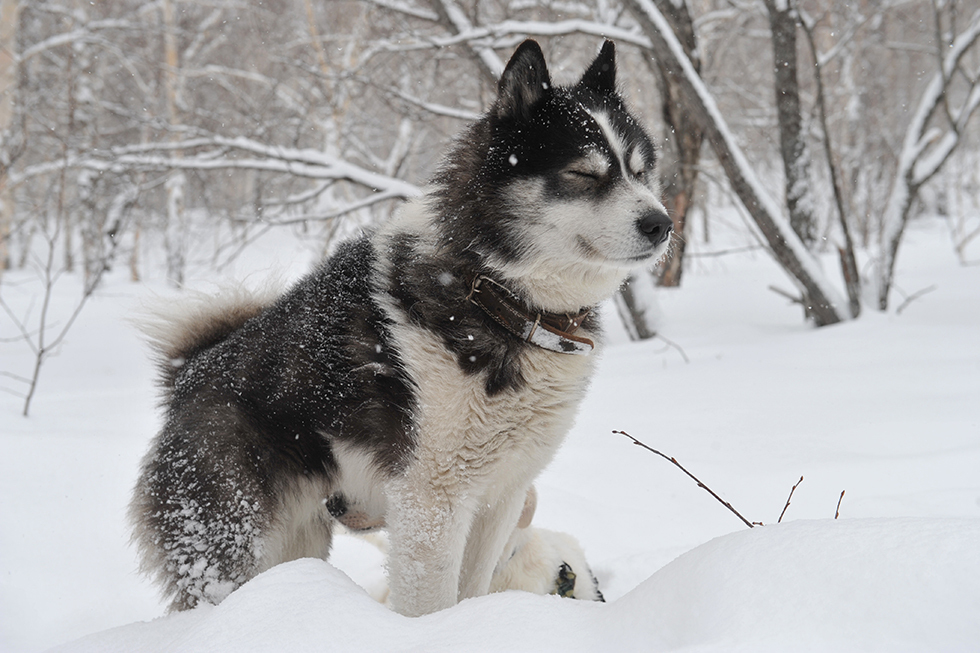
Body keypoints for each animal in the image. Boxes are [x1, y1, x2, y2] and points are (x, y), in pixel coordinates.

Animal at [130, 40, 672, 616]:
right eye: (584, 174)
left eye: (641, 171)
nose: (662, 224)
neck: (494, 292)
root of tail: (190, 374)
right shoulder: (430, 499)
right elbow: (432, 603)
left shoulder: (498, 497)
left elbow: (471, 589)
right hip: (232, 545)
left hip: (299, 541)